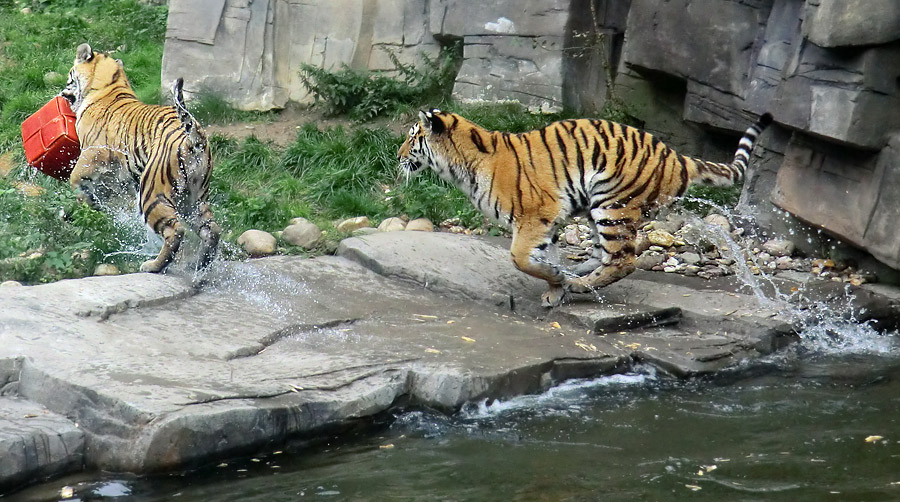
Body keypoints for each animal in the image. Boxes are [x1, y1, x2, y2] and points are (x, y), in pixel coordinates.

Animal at [59, 44, 220, 274]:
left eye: (70, 76)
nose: (62, 92)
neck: (110, 85)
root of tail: (195, 138)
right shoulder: (120, 175)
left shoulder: (92, 153)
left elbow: (75, 178)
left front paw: (83, 205)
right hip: (194, 198)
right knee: (212, 230)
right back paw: (198, 264)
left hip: (152, 192)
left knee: (175, 230)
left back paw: (153, 266)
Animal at [398, 108, 768, 308]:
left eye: (413, 137)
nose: (398, 155)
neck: (463, 163)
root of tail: (678, 157)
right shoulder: (546, 224)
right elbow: (543, 258)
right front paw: (556, 286)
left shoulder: (536, 215)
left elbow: (521, 259)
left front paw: (559, 284)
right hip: (596, 208)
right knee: (608, 253)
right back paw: (579, 273)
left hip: (613, 203)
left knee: (623, 259)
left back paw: (581, 284)